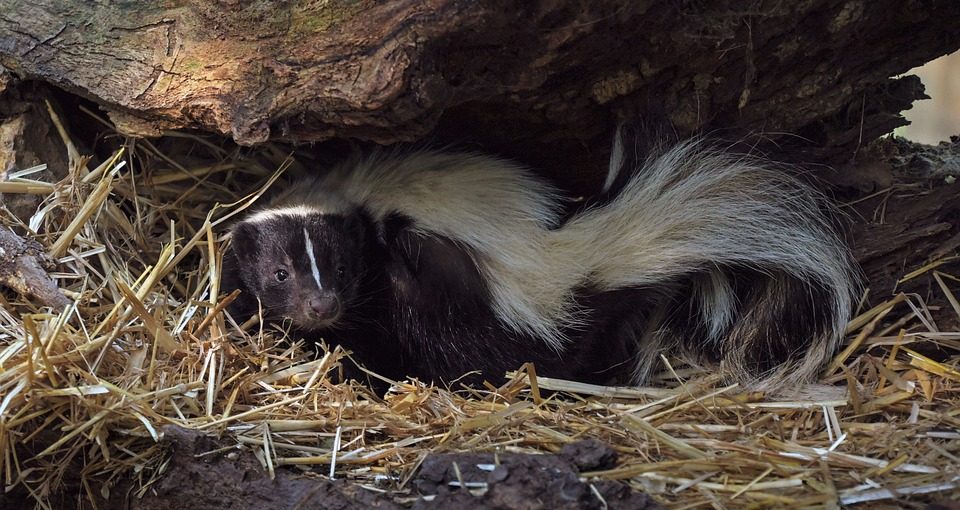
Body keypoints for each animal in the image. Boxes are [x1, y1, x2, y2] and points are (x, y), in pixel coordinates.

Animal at [225, 135, 856, 390]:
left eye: (342, 270)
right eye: (280, 273)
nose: (321, 306)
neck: (348, 195)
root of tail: (573, 255)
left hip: (455, 301)